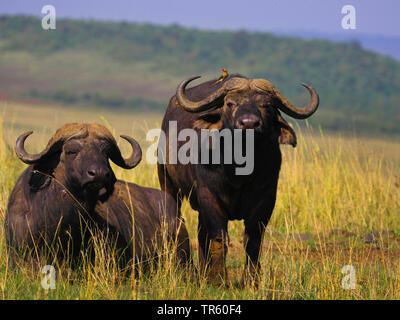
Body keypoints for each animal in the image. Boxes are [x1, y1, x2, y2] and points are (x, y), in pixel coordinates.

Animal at [159, 74, 318, 284]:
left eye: (266, 105)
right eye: (230, 103)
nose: (249, 123)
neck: (239, 170)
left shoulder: (266, 199)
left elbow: (253, 240)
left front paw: (252, 280)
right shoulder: (209, 196)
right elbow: (219, 237)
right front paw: (218, 279)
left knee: (201, 233)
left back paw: (203, 271)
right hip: (168, 184)